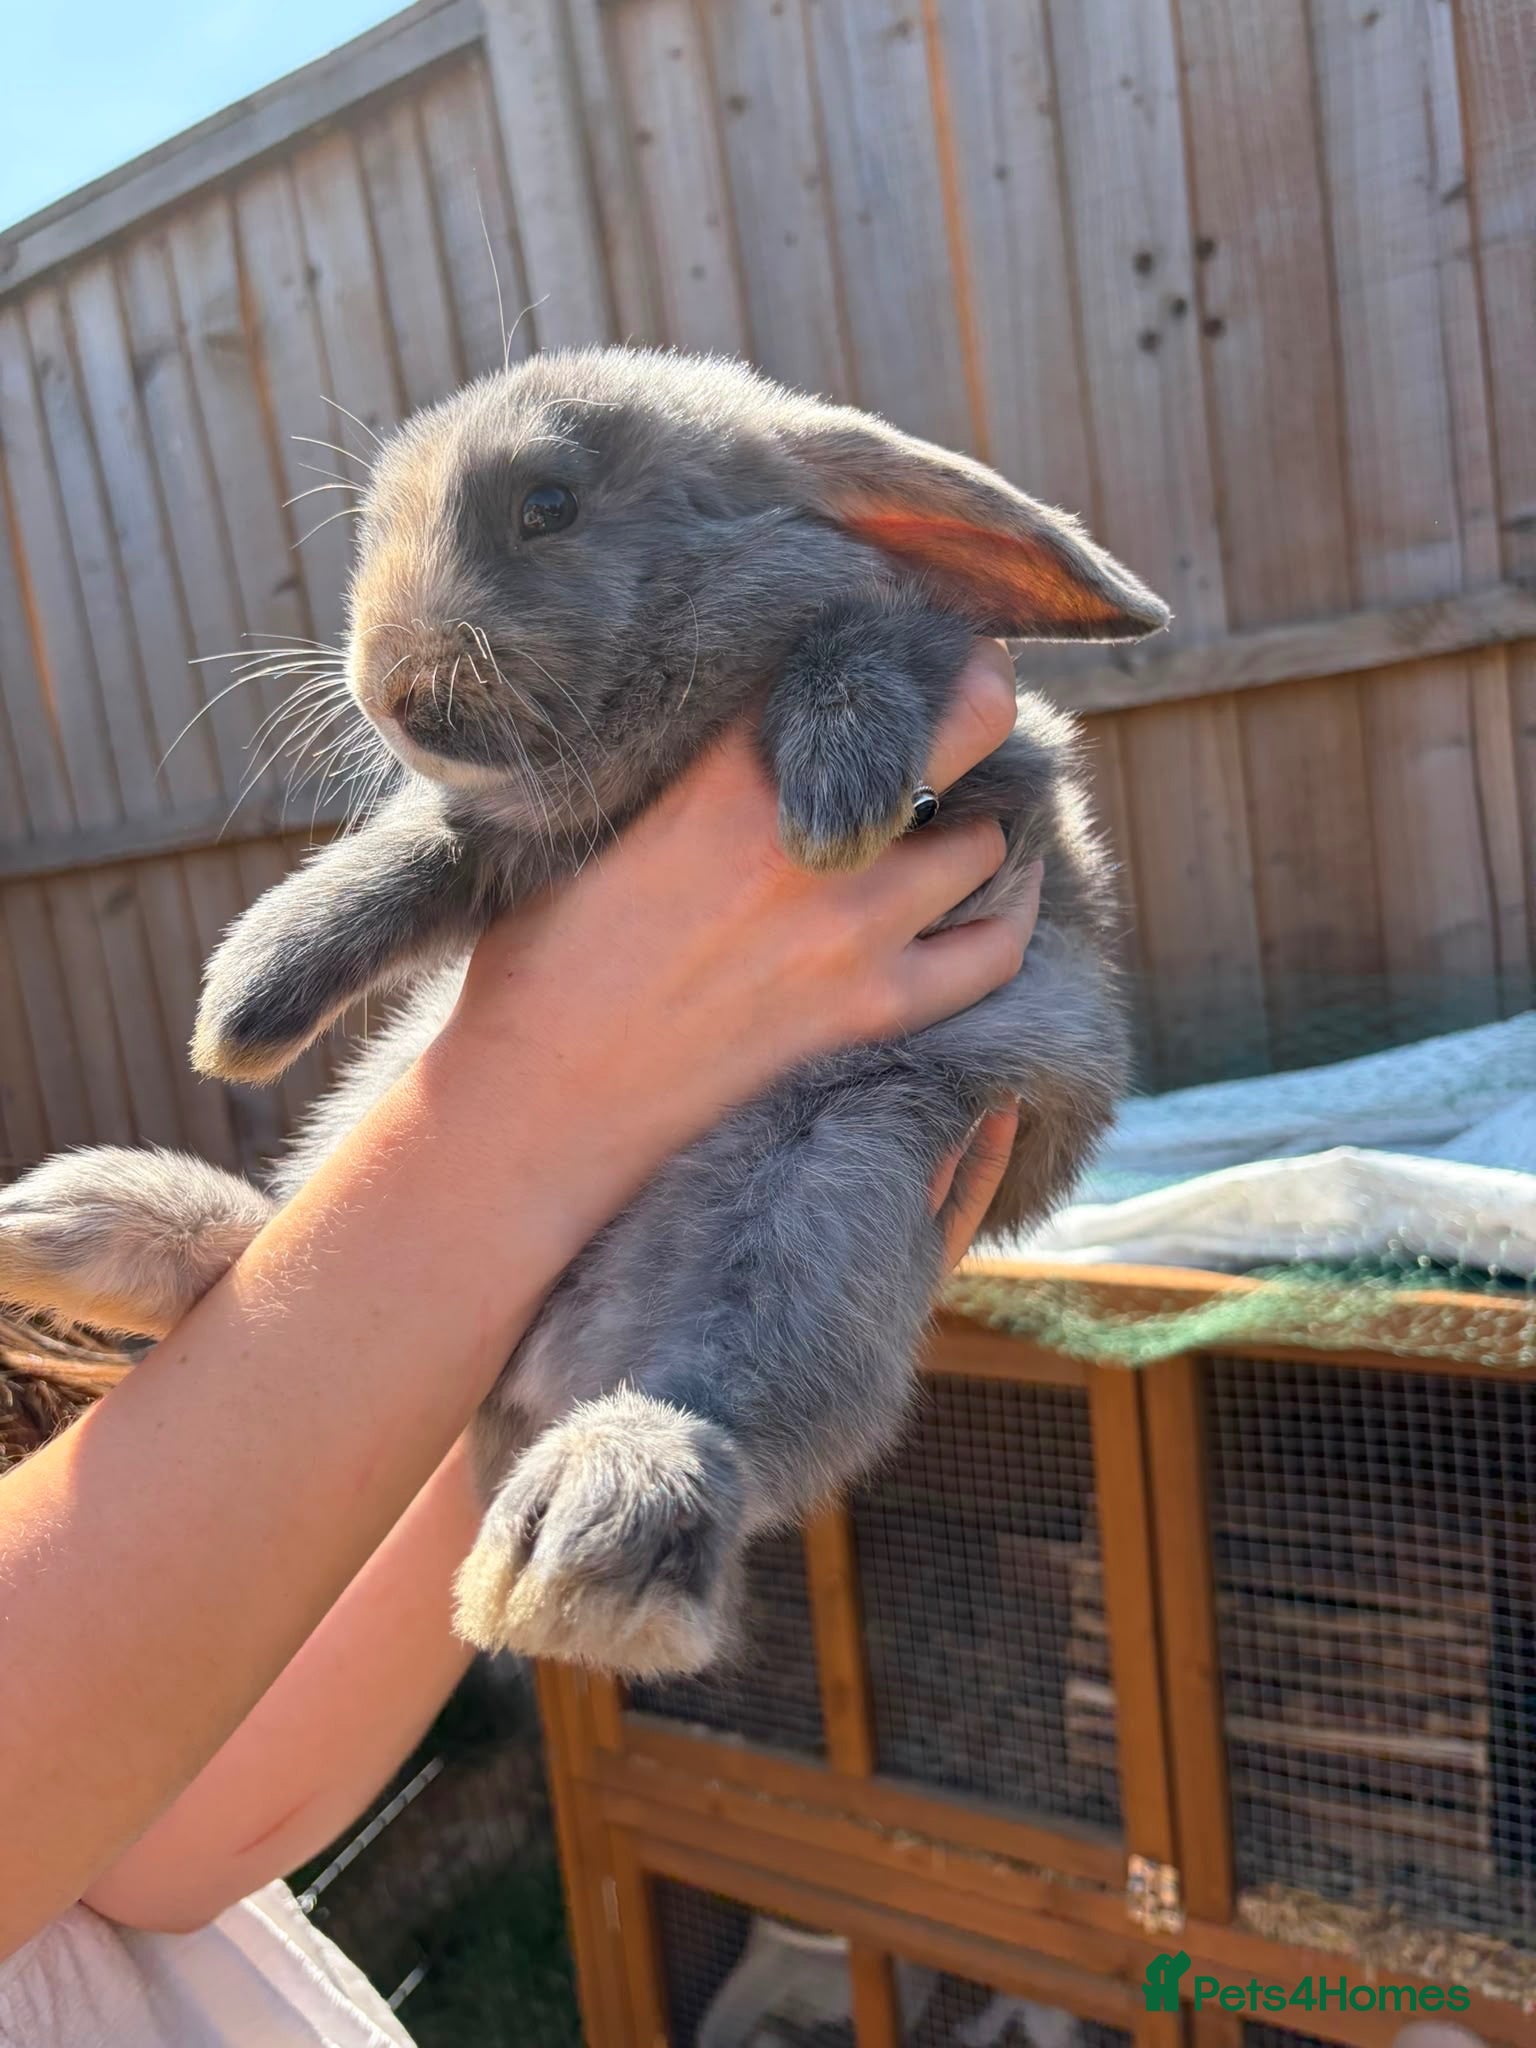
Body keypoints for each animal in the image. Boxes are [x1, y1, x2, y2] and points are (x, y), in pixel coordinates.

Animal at [0, 348, 1166, 1678]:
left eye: (548, 506)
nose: (390, 690)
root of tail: (530, 1376)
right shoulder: (503, 841)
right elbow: (415, 848)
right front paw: (246, 1000)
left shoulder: (991, 762)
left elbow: (877, 633)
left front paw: (838, 788)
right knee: (271, 1241)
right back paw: (83, 1224)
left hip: (834, 1172)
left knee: (729, 1387)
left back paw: (598, 1526)